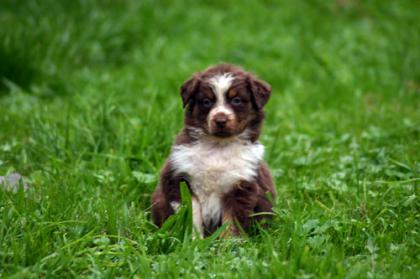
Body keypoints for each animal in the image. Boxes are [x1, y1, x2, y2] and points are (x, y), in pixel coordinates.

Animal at [151, 64, 276, 238]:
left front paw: (229, 244)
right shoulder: (179, 178)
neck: (218, 146)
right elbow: (191, 215)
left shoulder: (241, 186)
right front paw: (194, 240)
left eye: (236, 100)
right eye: (206, 101)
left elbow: (231, 223)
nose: (220, 120)